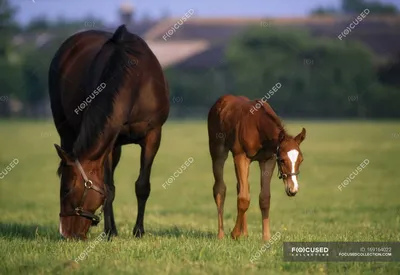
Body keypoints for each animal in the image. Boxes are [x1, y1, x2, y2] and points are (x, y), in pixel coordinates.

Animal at [49, 24, 170, 240]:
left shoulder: (153, 135)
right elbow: (108, 188)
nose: (66, 233)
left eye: (67, 190)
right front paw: (110, 231)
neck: (135, 80)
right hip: (66, 132)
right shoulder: (111, 142)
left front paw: (139, 231)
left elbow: (142, 186)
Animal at [206, 95, 306, 242]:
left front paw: (266, 237)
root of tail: (221, 100)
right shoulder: (241, 156)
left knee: (241, 187)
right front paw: (234, 234)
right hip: (218, 151)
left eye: (301, 160)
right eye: (282, 160)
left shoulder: (268, 160)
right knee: (220, 188)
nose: (293, 189)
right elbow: (243, 198)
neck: (257, 127)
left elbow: (264, 198)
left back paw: (245, 233)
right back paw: (221, 235)